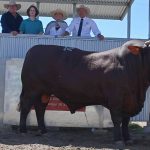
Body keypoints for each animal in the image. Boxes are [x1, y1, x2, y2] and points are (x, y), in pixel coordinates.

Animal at [18, 39, 150, 148]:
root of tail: (33, 49)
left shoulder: (129, 101)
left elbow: (126, 121)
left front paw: (128, 139)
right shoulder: (116, 99)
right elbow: (117, 119)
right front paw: (118, 140)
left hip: (44, 92)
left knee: (40, 109)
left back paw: (43, 131)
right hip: (31, 90)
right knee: (25, 107)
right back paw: (23, 130)